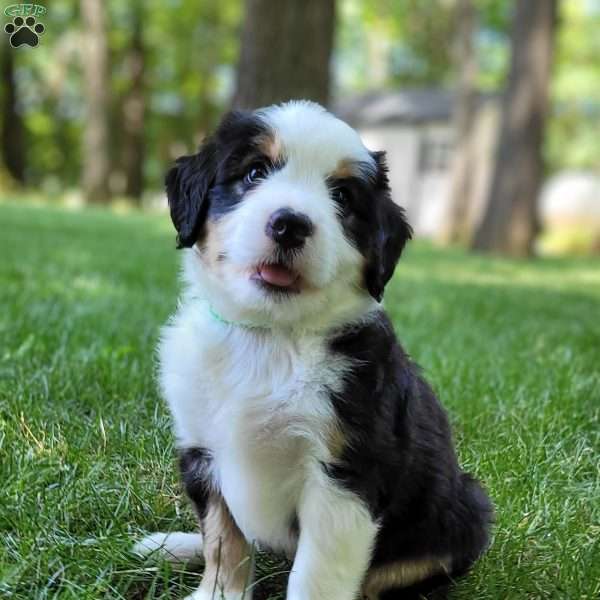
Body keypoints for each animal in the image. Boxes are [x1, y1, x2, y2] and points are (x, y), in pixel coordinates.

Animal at [137, 103, 492, 600]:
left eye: (341, 196)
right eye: (254, 172)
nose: (290, 224)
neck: (269, 338)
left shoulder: (344, 475)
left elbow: (315, 573)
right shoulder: (203, 450)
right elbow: (224, 541)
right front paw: (216, 592)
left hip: (466, 509)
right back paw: (172, 545)